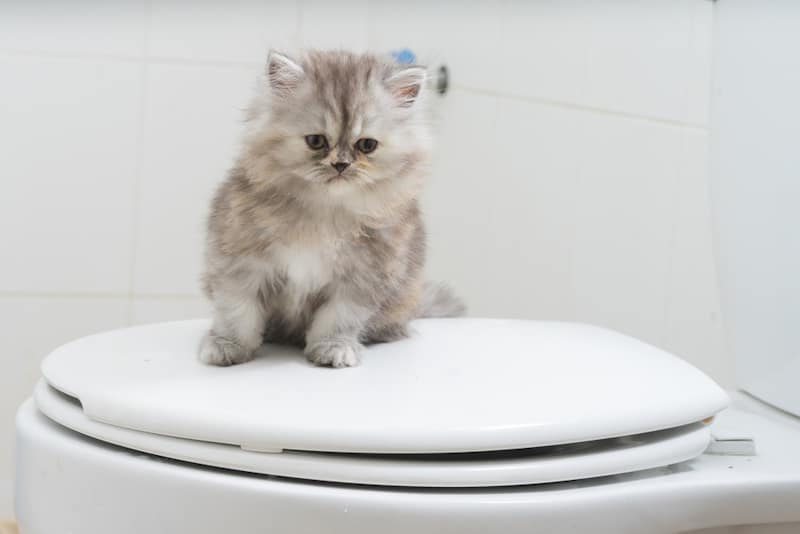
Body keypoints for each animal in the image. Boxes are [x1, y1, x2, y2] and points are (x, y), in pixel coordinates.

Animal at [198, 49, 466, 368]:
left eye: (366, 145)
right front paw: (228, 346)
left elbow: (338, 320)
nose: (341, 165)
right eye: (316, 141)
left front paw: (333, 349)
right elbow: (237, 313)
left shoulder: (361, 281)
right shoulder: (239, 263)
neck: (325, 212)